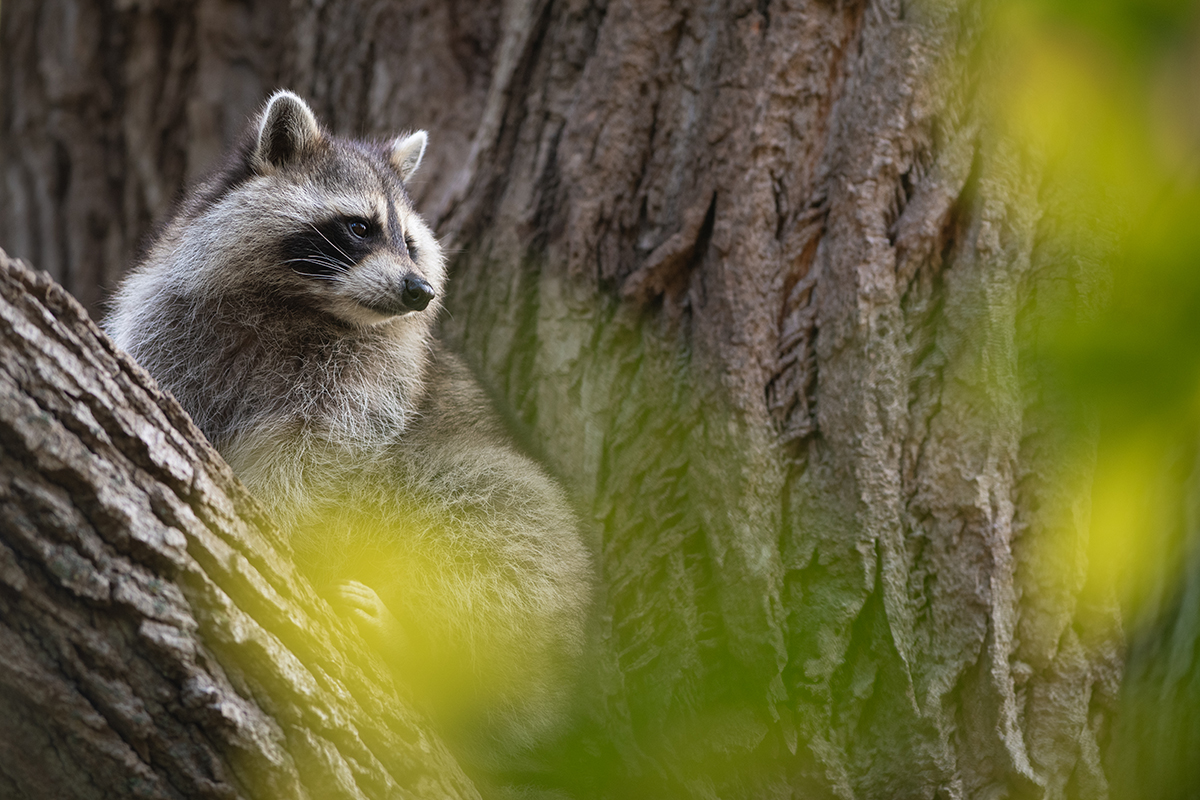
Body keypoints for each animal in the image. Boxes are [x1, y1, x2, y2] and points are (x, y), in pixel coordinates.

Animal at [105, 91, 592, 774]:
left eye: (409, 242)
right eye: (359, 227)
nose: (420, 290)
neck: (300, 303)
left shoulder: (367, 383)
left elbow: (313, 459)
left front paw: (272, 516)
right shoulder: (173, 326)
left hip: (524, 552)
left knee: (489, 510)